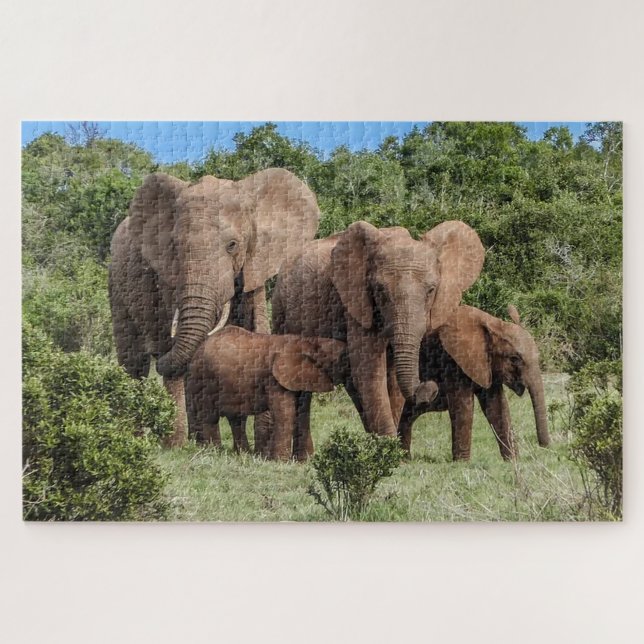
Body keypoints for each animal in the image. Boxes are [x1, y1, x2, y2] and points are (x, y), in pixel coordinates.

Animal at [109, 169, 320, 446]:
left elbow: (257, 329)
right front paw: (179, 446)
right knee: (134, 362)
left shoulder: (255, 264)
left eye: (232, 245)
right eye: (175, 246)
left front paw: (261, 445)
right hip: (116, 284)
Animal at [185, 326, 348, 461]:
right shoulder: (274, 379)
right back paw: (214, 451)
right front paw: (280, 461)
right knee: (210, 417)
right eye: (340, 360)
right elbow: (285, 414)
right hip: (203, 379)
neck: (307, 342)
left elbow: (302, 413)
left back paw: (243, 454)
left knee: (237, 419)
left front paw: (306, 460)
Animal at [271, 219, 485, 461]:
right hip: (281, 309)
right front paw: (388, 452)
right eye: (380, 290)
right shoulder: (357, 302)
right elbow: (370, 370)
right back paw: (304, 459)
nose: (429, 387)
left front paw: (388, 451)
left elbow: (390, 378)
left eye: (431, 290)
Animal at [397, 304, 550, 460]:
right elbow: (464, 405)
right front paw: (462, 462)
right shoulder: (452, 360)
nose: (544, 447)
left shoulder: (487, 367)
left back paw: (404, 457)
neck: (494, 324)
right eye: (514, 359)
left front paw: (513, 460)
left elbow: (497, 406)